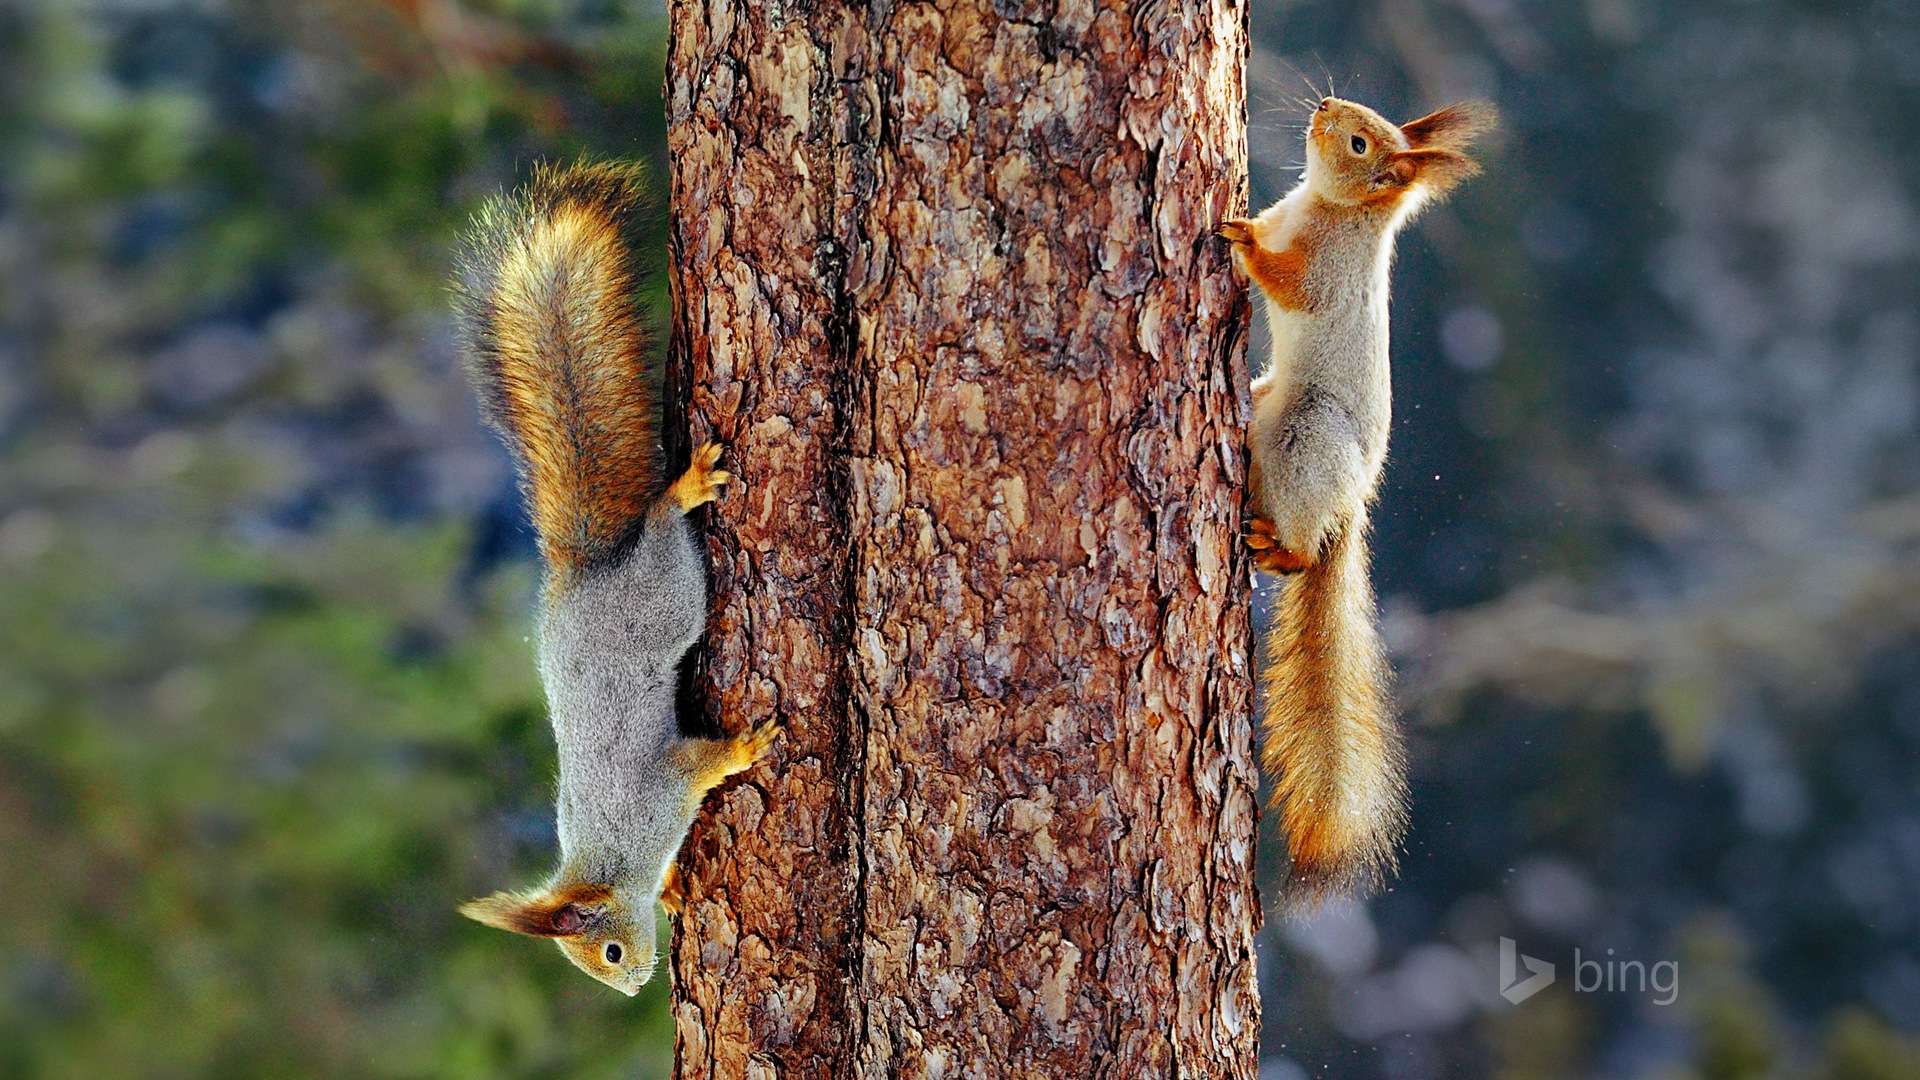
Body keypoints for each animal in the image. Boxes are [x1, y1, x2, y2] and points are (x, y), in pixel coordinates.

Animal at [449, 161, 771, 991]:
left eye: (610, 953)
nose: (633, 987)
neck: (613, 859)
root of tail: (588, 573)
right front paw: (678, 888)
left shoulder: (658, 794)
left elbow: (701, 764)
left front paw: (744, 750)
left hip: (664, 594)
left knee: (661, 528)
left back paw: (682, 490)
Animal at [1213, 94, 1497, 899]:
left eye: (1361, 142)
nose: (1323, 106)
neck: (1327, 208)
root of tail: (1350, 507)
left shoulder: (1327, 278)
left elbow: (1287, 283)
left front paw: (1241, 238)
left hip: (1311, 437)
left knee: (1303, 553)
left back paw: (1280, 547)